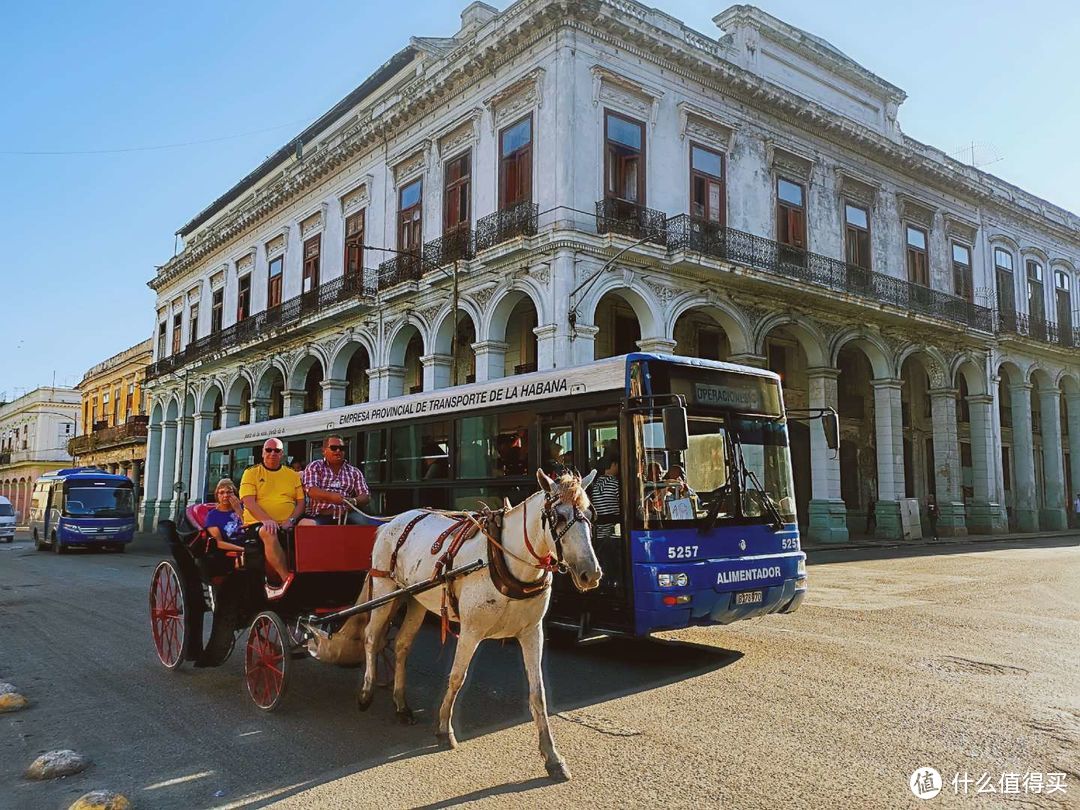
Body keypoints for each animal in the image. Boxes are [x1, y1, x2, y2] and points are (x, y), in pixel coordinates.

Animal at [358, 468, 604, 781]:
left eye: (590, 513)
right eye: (558, 516)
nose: (591, 573)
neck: (507, 559)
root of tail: (393, 520)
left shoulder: (532, 632)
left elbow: (538, 694)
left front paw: (552, 757)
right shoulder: (471, 631)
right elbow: (456, 677)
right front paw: (444, 729)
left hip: (415, 599)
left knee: (401, 645)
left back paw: (401, 705)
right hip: (384, 590)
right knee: (371, 637)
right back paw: (366, 692)